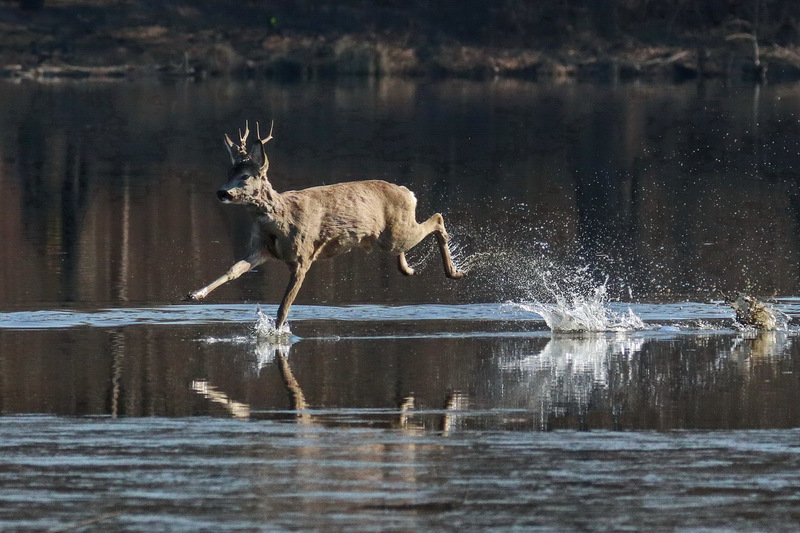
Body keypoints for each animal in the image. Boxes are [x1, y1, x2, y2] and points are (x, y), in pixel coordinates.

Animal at [186, 121, 465, 331]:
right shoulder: (261, 249)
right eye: (228, 172)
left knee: (437, 218)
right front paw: (195, 294)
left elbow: (284, 306)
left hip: (397, 233)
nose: (222, 192)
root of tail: (408, 192)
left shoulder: (303, 256)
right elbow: (234, 270)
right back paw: (409, 270)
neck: (280, 220)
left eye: (245, 176)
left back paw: (454, 272)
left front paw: (275, 333)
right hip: (389, 237)